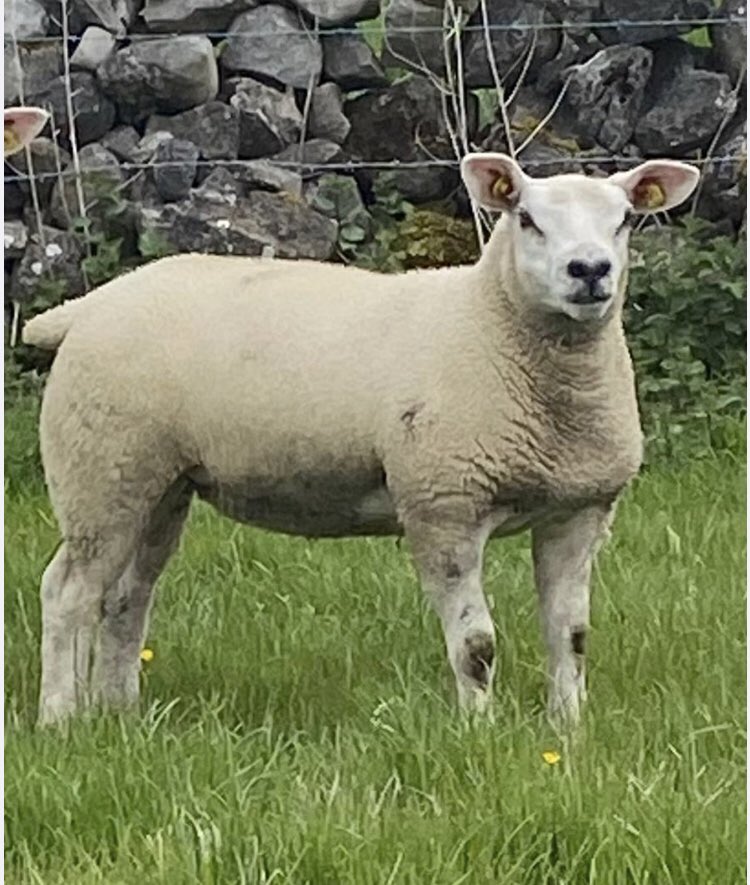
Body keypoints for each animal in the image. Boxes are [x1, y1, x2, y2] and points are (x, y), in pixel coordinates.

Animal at [21, 151, 700, 728]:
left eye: (625, 220)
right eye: (527, 219)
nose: (589, 271)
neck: (490, 323)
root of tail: (89, 305)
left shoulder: (580, 511)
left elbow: (571, 637)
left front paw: (570, 730)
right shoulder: (443, 505)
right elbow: (476, 645)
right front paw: (480, 732)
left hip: (157, 481)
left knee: (125, 597)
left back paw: (118, 712)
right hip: (100, 467)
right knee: (68, 592)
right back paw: (60, 719)